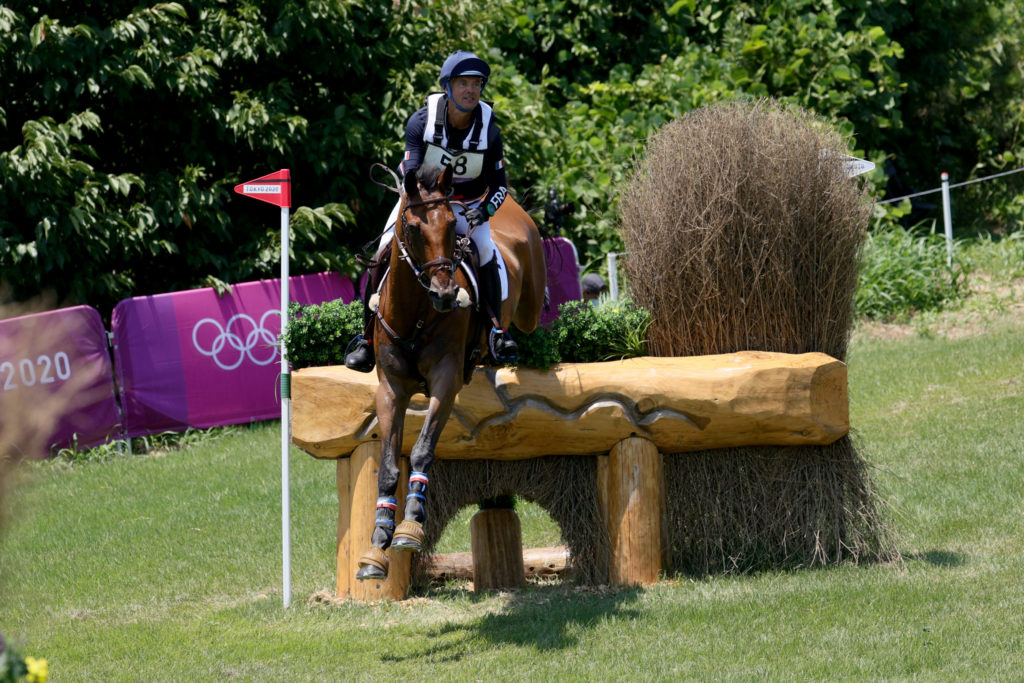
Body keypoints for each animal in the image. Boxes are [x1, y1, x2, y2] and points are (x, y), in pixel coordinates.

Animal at [356, 162, 548, 581]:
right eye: (412, 227)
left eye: (448, 225)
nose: (445, 295)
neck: (415, 312)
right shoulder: (390, 389)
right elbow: (389, 464)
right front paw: (379, 537)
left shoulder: (445, 383)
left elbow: (423, 449)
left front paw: (411, 523)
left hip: (527, 307)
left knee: (533, 313)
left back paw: (507, 341)